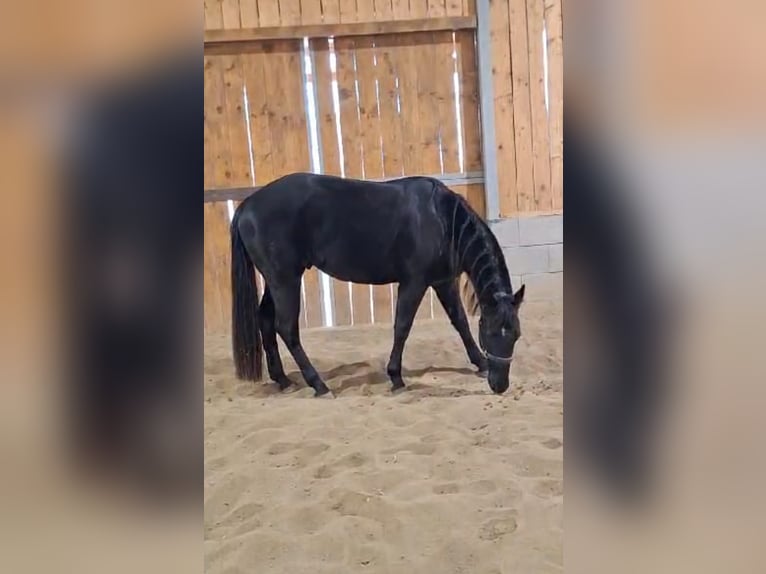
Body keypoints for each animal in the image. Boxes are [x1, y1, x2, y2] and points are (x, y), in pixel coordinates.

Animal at [230, 172, 525, 396]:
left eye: (516, 334)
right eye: (491, 331)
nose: (500, 385)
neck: (440, 219)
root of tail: (246, 206)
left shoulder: (442, 282)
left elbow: (460, 322)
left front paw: (480, 363)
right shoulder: (414, 282)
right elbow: (402, 327)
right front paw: (396, 377)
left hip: (276, 280)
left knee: (266, 320)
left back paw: (283, 380)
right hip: (285, 279)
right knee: (286, 328)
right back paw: (319, 385)